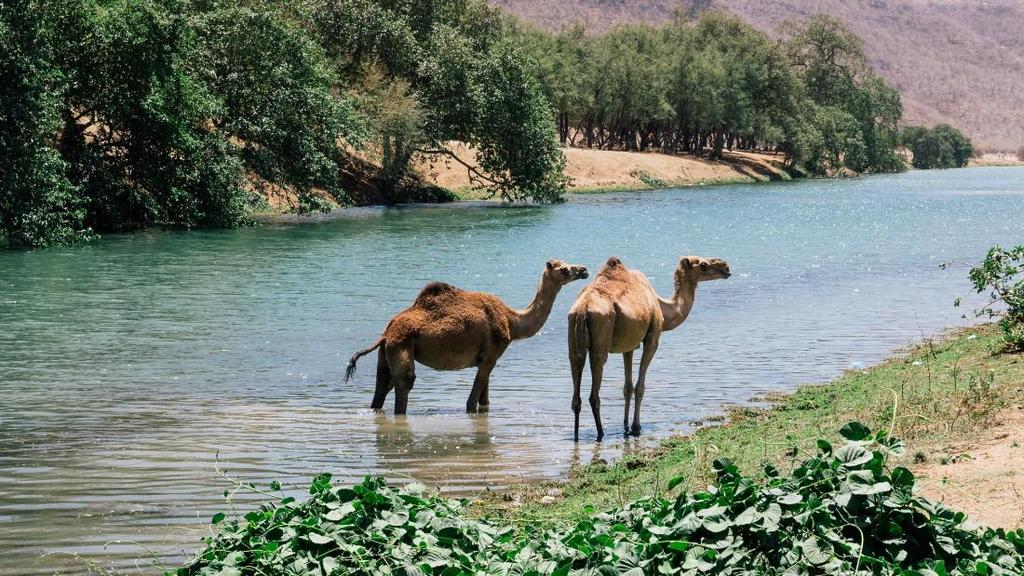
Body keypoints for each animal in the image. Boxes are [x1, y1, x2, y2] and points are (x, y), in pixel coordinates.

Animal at [346, 259, 589, 412]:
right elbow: (471, 403)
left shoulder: (486, 359)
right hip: (401, 346)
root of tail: (386, 333)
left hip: (385, 353)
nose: (583, 269)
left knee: (381, 388)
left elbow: (485, 401)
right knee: (404, 382)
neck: (513, 321)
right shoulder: (491, 355)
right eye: (564, 269)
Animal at [569, 255, 729, 438]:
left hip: (573, 337)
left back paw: (576, 435)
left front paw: (625, 425)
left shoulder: (629, 345)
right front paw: (636, 427)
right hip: (600, 340)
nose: (726, 267)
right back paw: (600, 433)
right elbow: (640, 387)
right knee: (594, 393)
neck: (662, 307)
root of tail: (583, 309)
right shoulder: (652, 339)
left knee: (576, 383)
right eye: (703, 264)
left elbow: (627, 387)